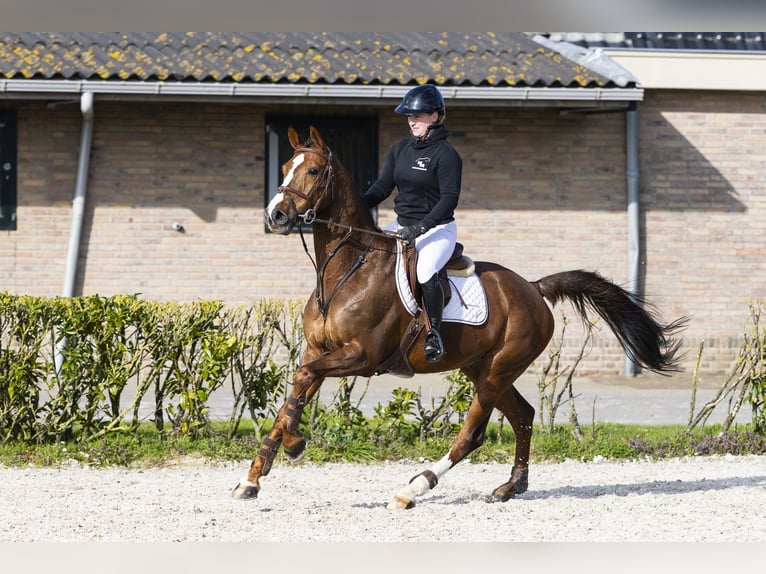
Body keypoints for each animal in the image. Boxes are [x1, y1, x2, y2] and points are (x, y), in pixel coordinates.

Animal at [232, 125, 688, 509]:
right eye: (285, 168)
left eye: (311, 170)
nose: (276, 216)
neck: (348, 269)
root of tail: (533, 288)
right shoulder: (318, 350)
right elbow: (293, 393)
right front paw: (254, 477)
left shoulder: (361, 355)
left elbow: (301, 382)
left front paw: (294, 444)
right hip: (480, 367)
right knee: (523, 416)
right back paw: (510, 487)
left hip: (497, 370)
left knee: (473, 433)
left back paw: (414, 488)